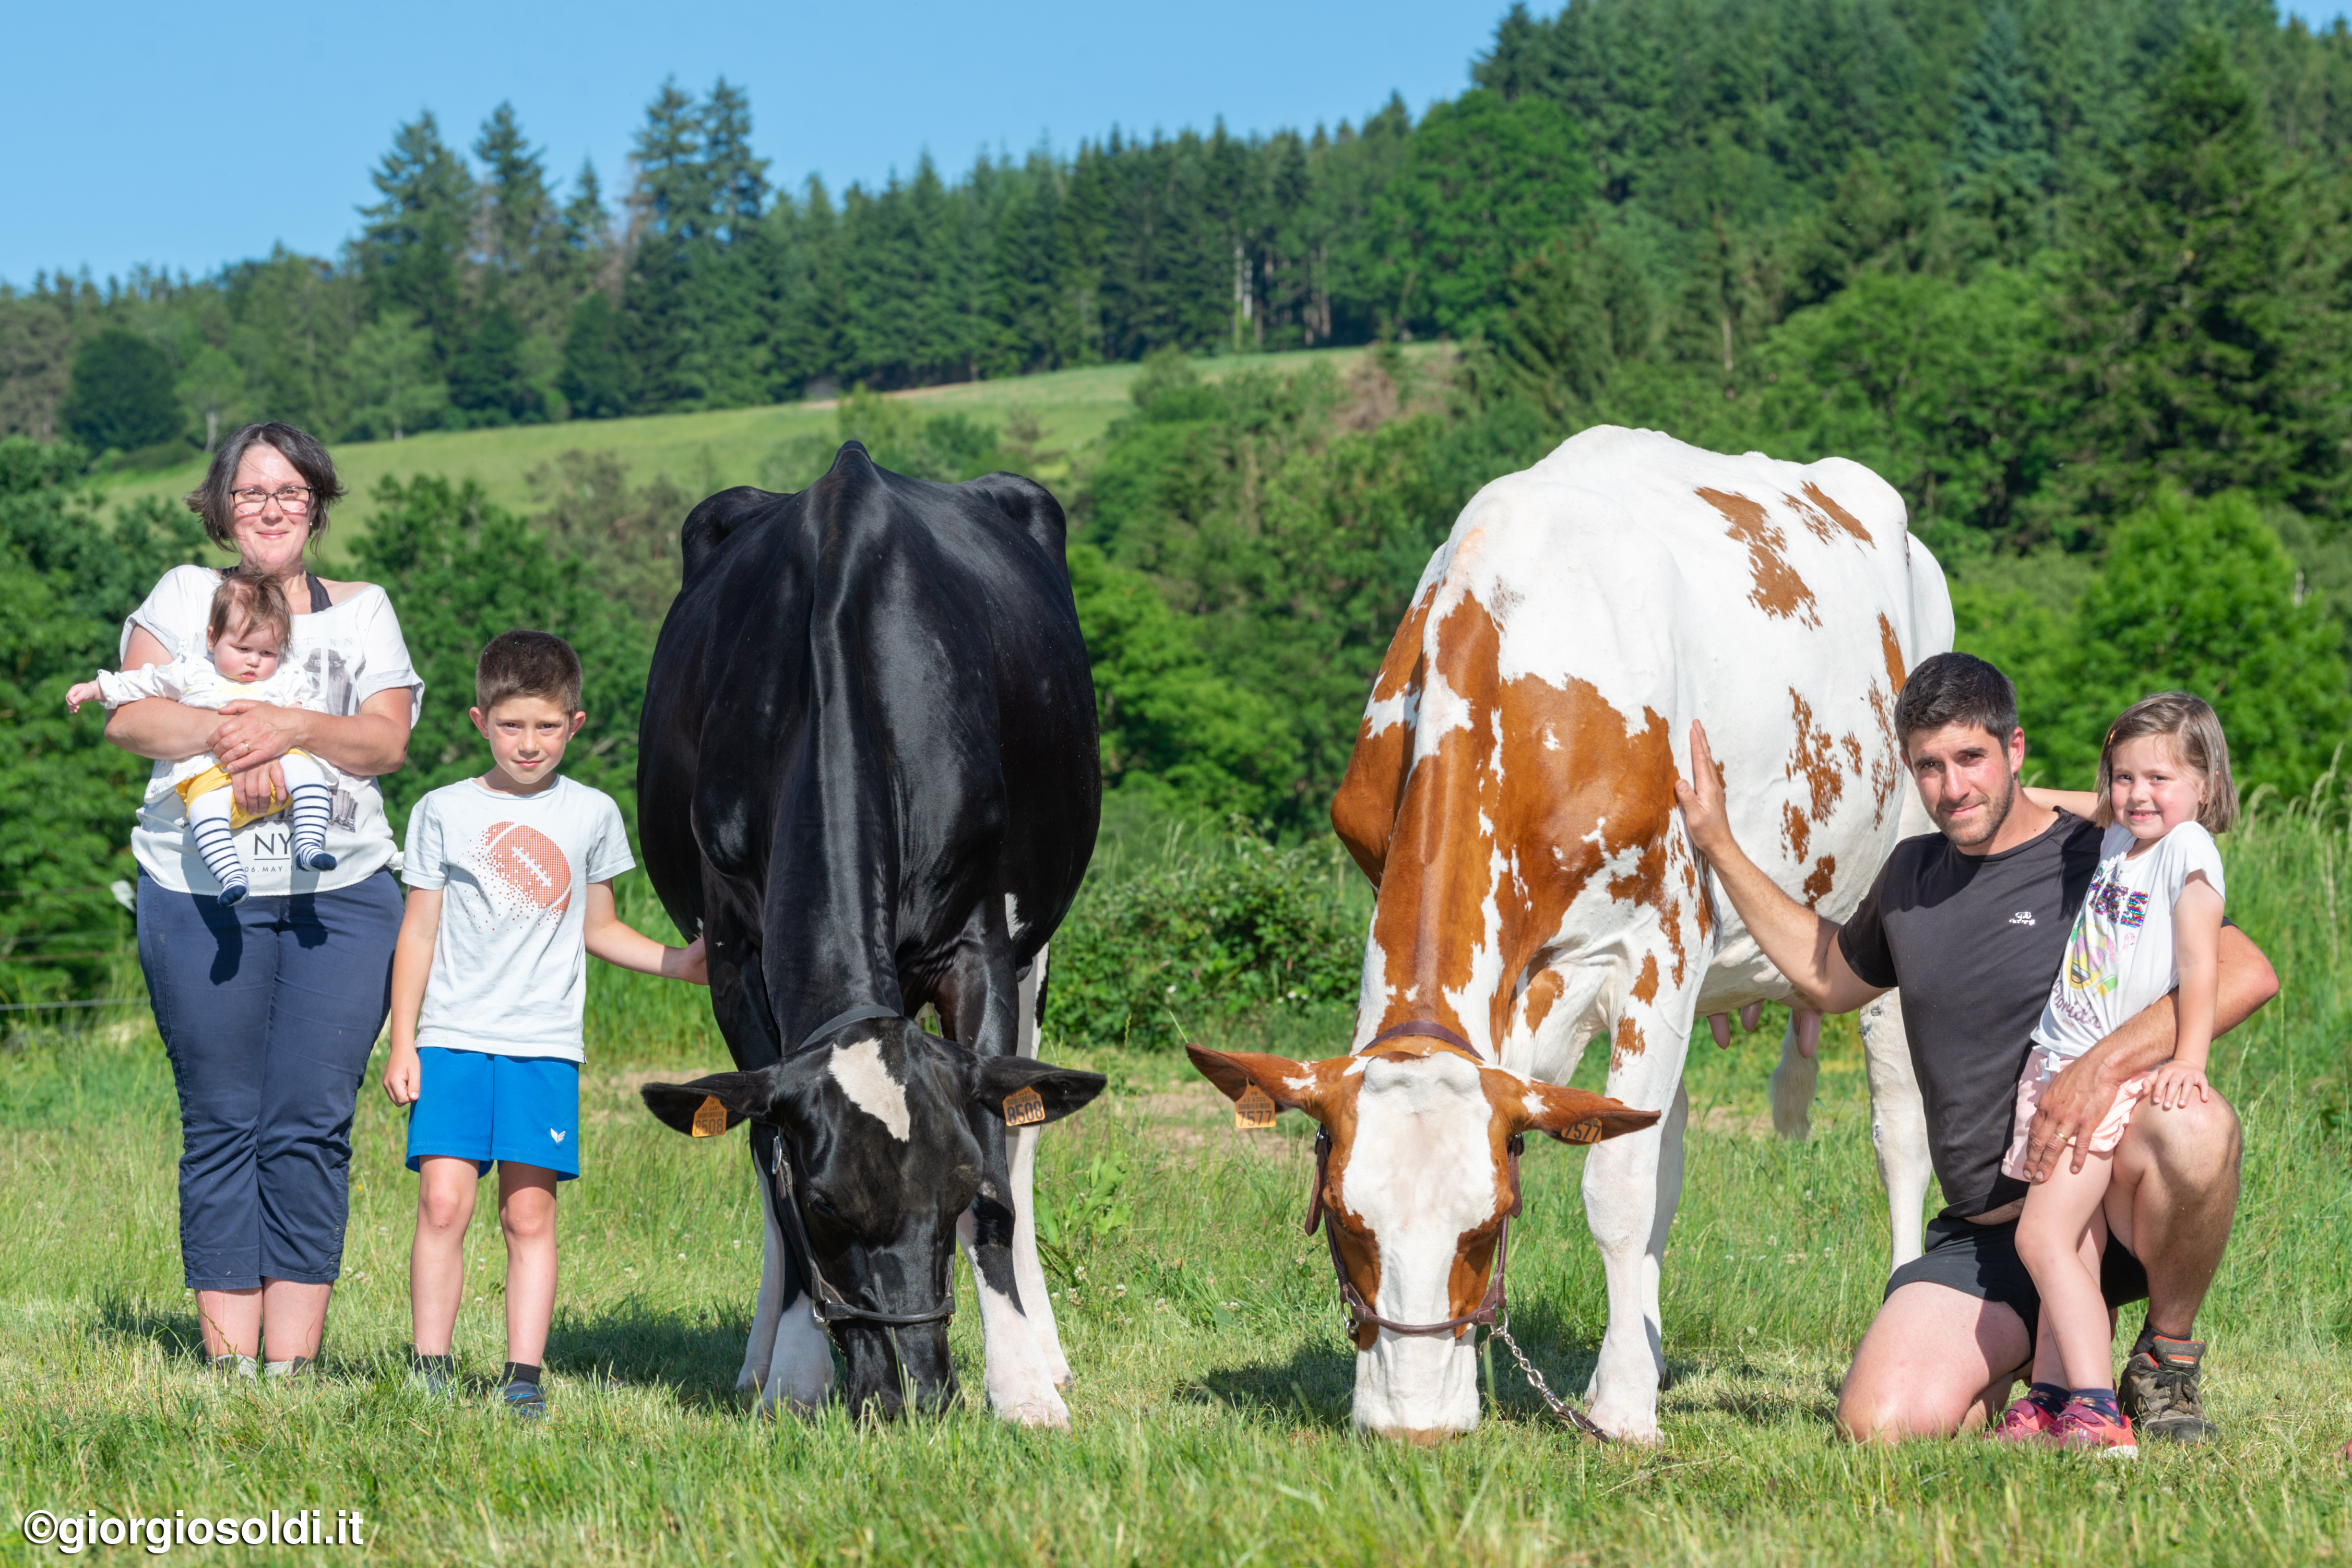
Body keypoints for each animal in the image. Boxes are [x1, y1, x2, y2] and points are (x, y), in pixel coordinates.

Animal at [635, 446, 1110, 1429]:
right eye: (825, 1204)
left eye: (957, 1186)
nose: (916, 1389)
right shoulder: (734, 956)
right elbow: (765, 1148)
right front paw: (793, 1373)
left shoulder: (982, 946)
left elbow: (1002, 1160)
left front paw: (1021, 1388)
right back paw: (757, 1359)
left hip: (1039, 948)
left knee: (1029, 1132)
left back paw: (1047, 1355)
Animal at [1195, 425, 1947, 1448]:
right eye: (1347, 1224)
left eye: (1485, 1228)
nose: (1412, 1429)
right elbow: (1630, 1160)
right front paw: (1592, 1376)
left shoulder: (1660, 945)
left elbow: (1616, 1188)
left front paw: (1622, 1410)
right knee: (1669, 1141)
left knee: (1896, 1130)